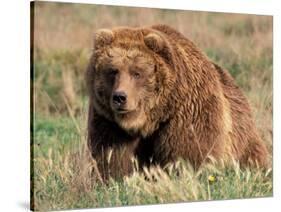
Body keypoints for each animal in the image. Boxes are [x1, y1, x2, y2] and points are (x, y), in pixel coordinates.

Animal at [86, 24, 270, 181]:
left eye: (136, 72)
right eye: (113, 71)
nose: (120, 97)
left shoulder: (188, 112)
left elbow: (189, 154)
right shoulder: (108, 122)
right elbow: (113, 158)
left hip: (242, 136)